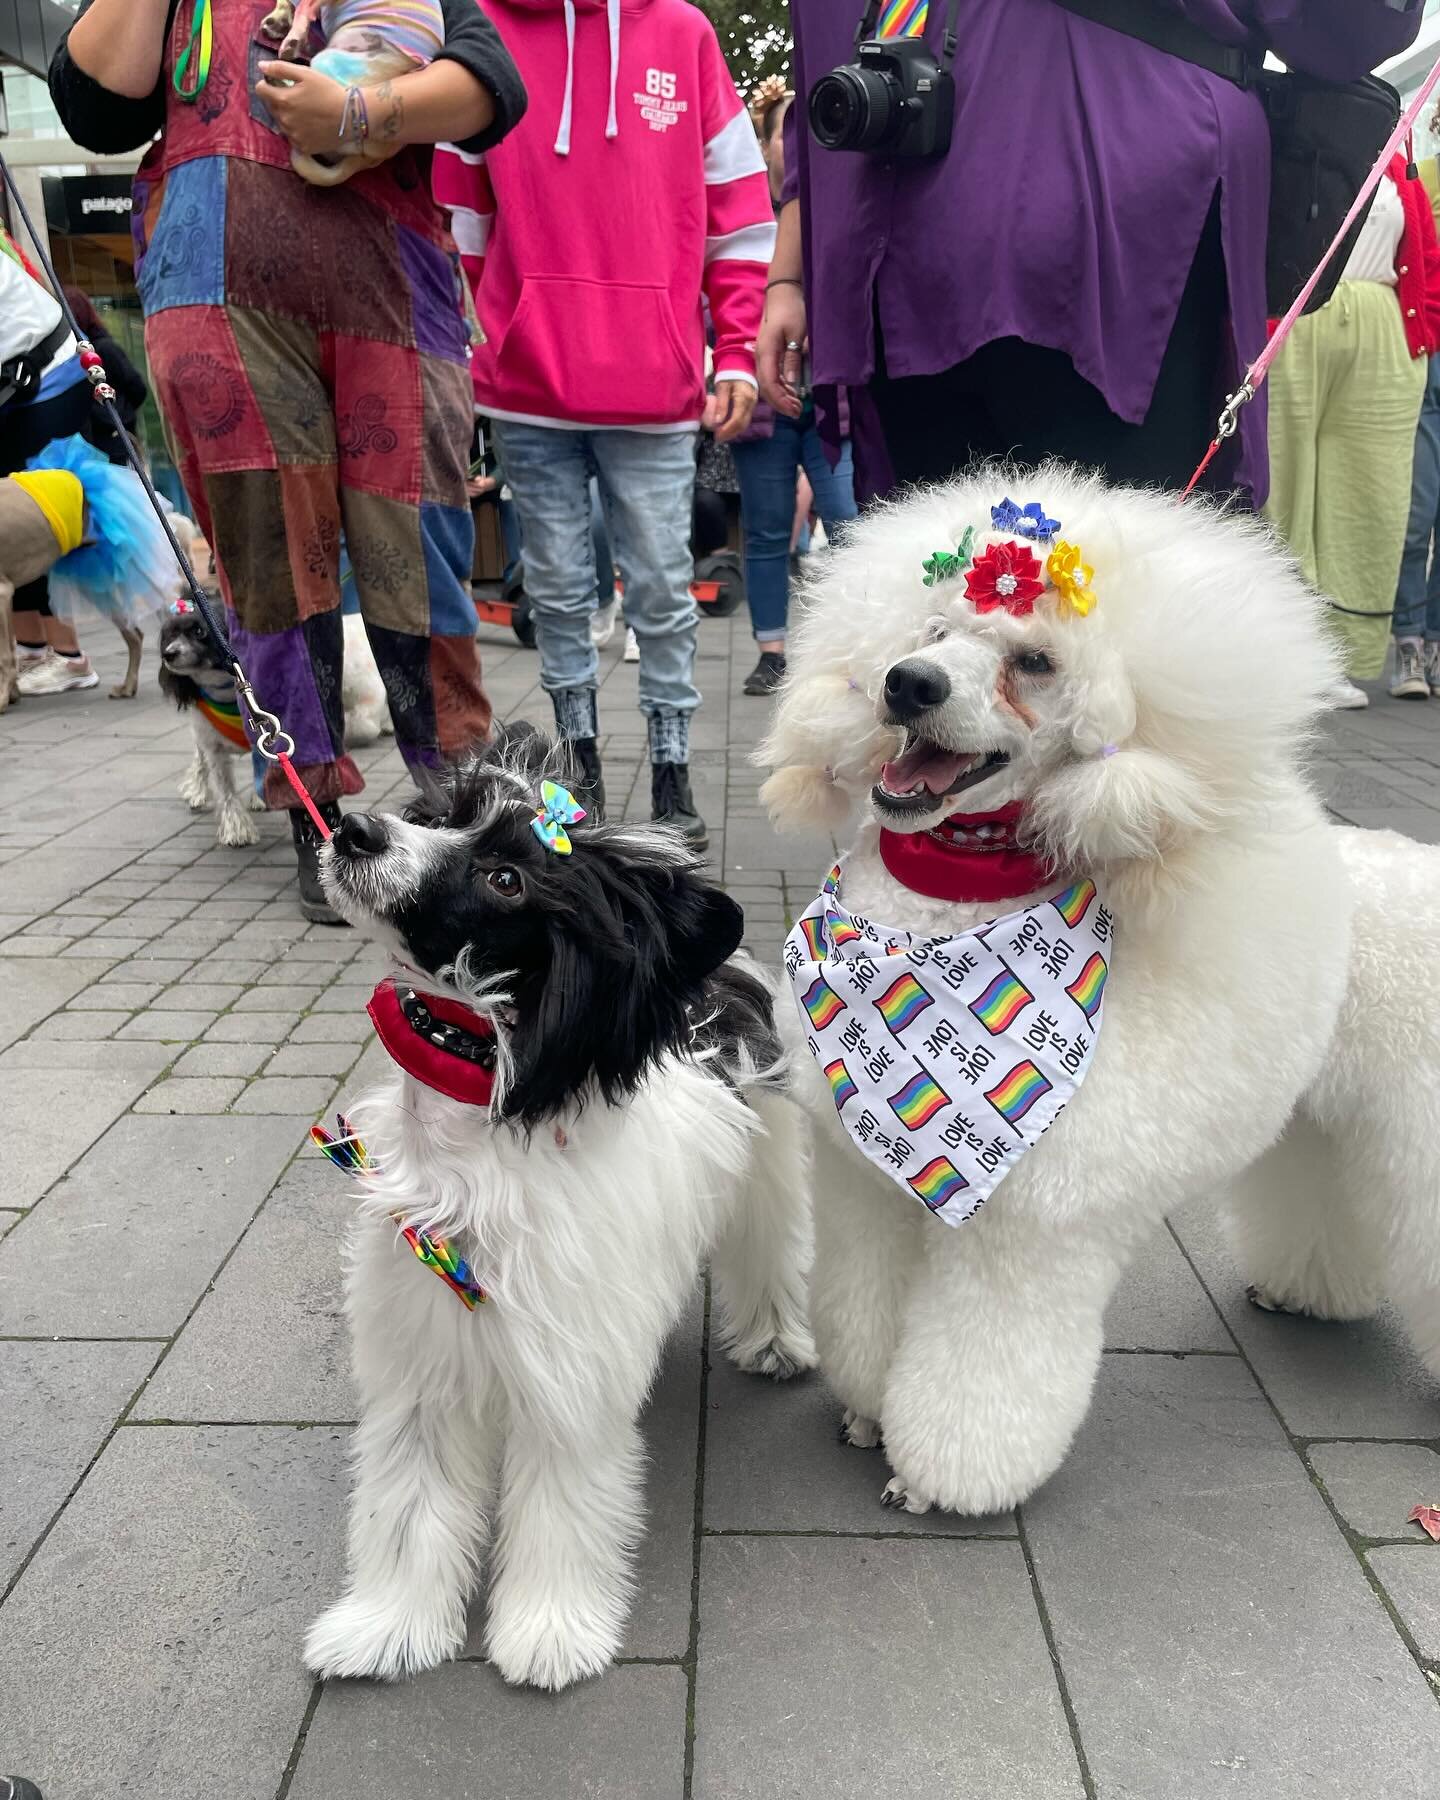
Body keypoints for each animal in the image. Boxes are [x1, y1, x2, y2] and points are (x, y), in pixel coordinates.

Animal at [160, 608, 264, 846]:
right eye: (171, 634)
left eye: (199, 631)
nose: (168, 654)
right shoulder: (212, 746)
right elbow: (226, 788)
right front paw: (237, 828)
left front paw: (262, 796)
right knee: (200, 759)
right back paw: (197, 791)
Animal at [306, 727, 817, 1684]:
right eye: (442, 816)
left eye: (508, 880)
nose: (355, 829)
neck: (477, 1139)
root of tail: (715, 974)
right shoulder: (422, 1360)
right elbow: (409, 1505)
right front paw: (387, 1627)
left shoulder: (566, 1380)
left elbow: (559, 1507)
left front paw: (549, 1632)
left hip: (767, 1171)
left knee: (771, 1254)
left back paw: (775, 1341)